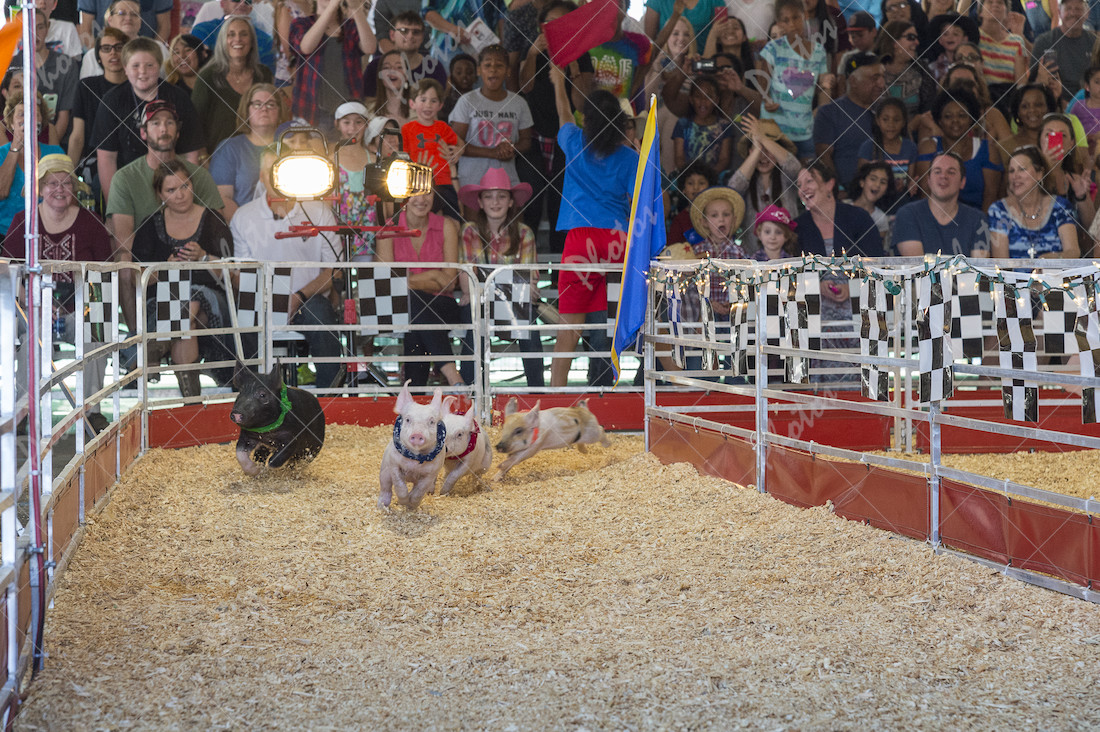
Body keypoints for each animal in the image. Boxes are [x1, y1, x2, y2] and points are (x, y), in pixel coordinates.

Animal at [378, 381, 447, 511]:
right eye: (408, 419)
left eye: (431, 421)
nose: (417, 434)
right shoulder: (394, 464)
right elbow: (400, 486)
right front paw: (402, 502)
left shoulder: (432, 472)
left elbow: (419, 491)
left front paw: (411, 504)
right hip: (384, 469)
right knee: (385, 488)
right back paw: (382, 507)